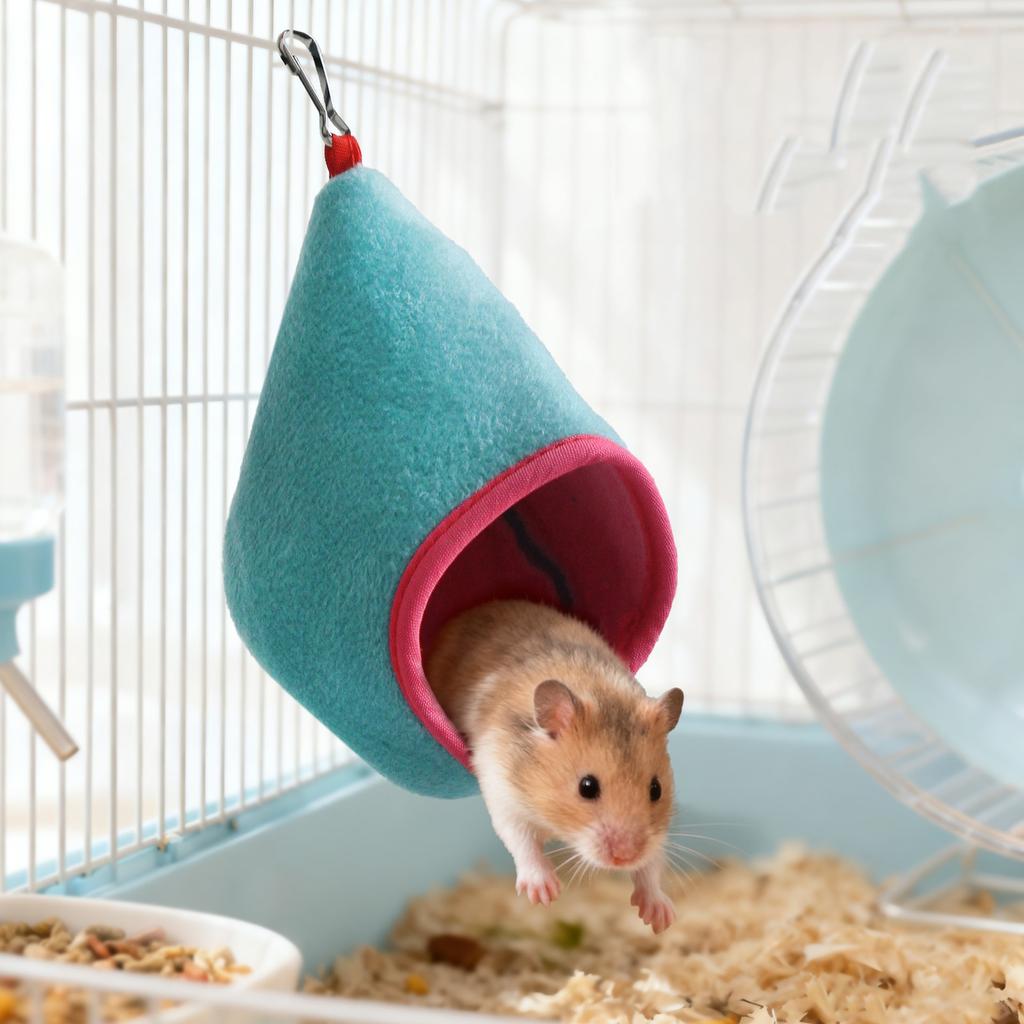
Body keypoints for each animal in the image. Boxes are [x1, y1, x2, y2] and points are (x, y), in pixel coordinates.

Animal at [426, 599, 684, 933]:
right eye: (587, 787)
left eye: (656, 789)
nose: (625, 857)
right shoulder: (502, 790)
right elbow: (520, 839)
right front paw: (545, 894)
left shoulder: (655, 834)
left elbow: (652, 863)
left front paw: (659, 918)